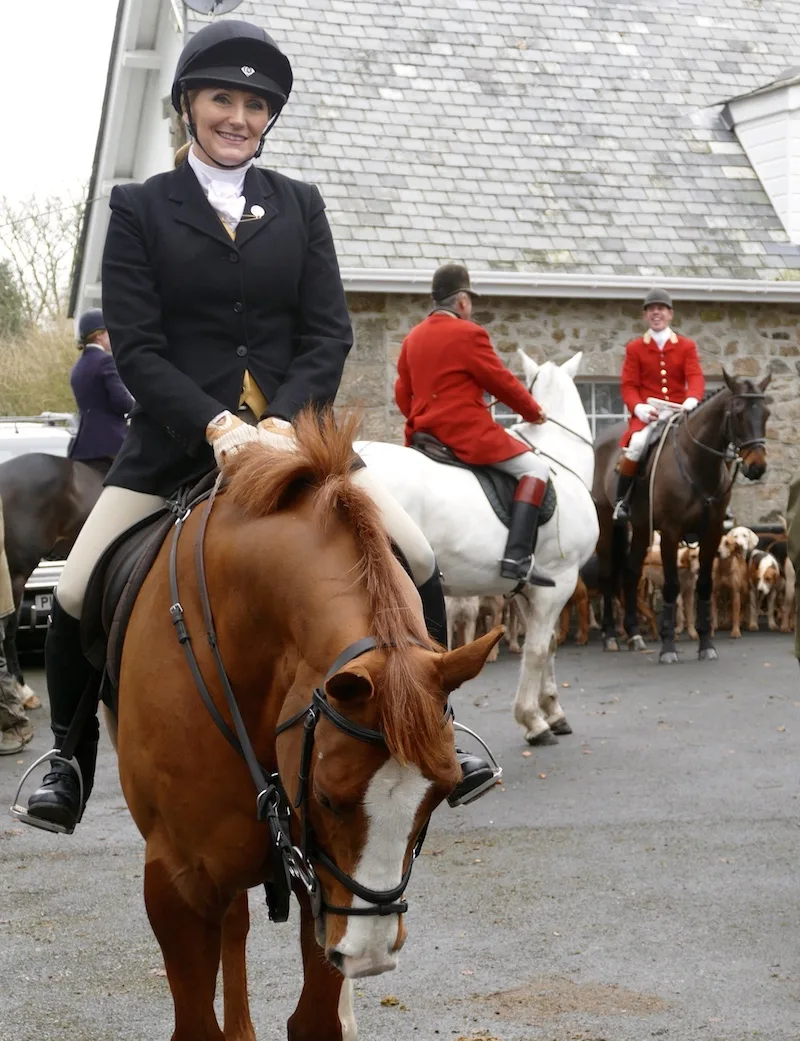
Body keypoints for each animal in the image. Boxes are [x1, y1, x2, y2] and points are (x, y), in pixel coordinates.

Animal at [114, 412, 499, 1041]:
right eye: (325, 796)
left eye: (439, 796)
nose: (369, 955)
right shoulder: (177, 883)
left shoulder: (317, 877)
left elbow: (315, 1017)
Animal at [354, 353, 591, 745]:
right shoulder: (560, 582)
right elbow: (538, 649)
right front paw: (533, 720)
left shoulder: (528, 591)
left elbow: (549, 646)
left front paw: (553, 711)